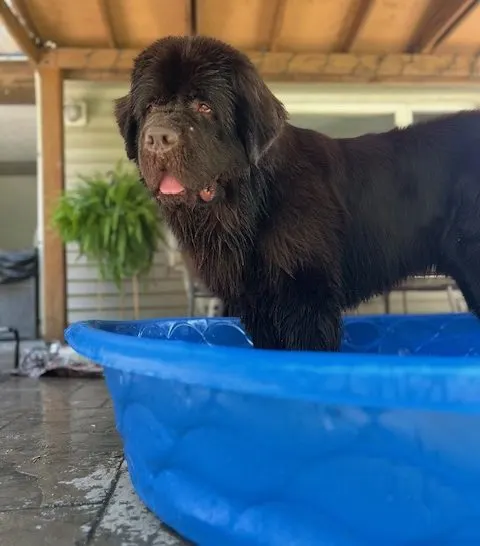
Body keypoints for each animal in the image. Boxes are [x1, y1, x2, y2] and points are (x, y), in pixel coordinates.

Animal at [114, 34, 480, 350]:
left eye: (204, 106)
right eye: (151, 106)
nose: (158, 138)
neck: (248, 207)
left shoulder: (304, 294)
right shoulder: (257, 304)